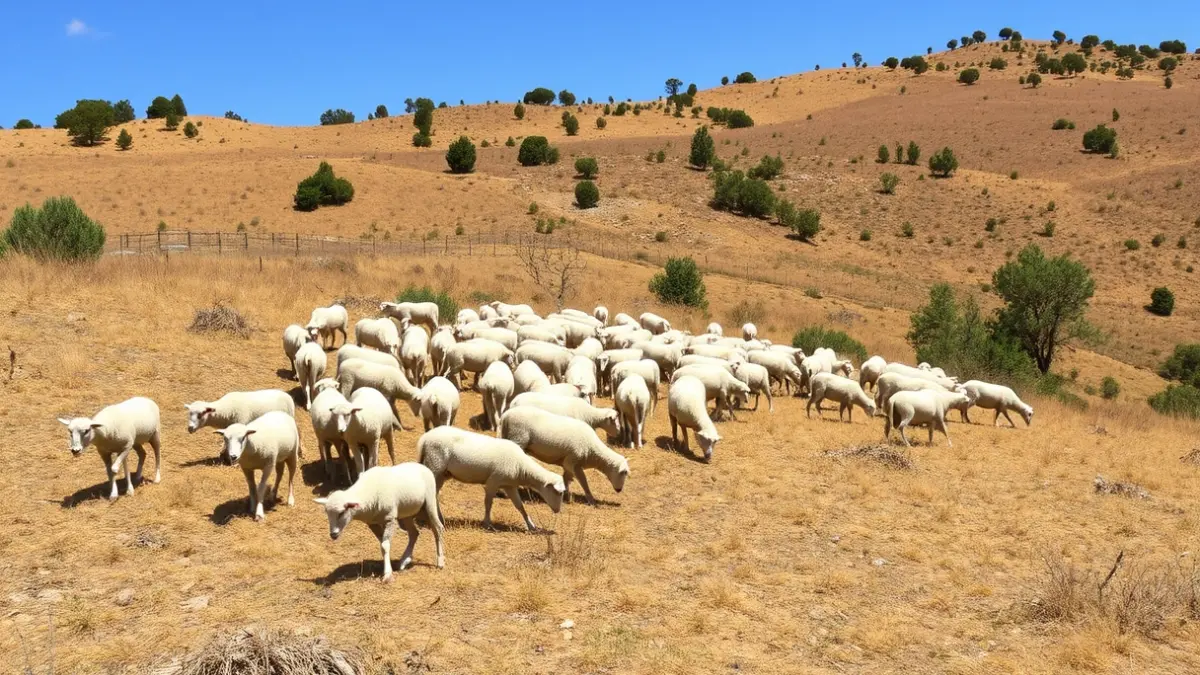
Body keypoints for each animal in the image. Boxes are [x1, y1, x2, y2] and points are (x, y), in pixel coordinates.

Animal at [314, 463, 445, 581]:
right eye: (327, 513)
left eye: (341, 512)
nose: (333, 534)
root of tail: (421, 465)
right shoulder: (372, 523)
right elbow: (382, 544)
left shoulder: (390, 518)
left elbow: (385, 545)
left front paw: (387, 574)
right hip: (406, 512)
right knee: (414, 533)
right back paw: (405, 560)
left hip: (429, 503)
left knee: (438, 528)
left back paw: (440, 561)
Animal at [416, 426, 566, 531]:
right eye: (558, 492)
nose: (558, 511)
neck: (521, 467)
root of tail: (424, 439)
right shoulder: (493, 481)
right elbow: (488, 503)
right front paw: (488, 523)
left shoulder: (509, 485)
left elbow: (520, 506)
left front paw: (531, 525)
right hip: (435, 466)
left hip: (443, 473)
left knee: (435, 494)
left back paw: (438, 518)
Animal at [499, 407, 629, 505]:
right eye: (623, 473)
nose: (619, 490)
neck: (593, 452)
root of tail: (505, 416)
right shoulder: (573, 461)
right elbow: (583, 481)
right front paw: (591, 500)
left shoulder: (568, 463)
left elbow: (567, 478)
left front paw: (567, 496)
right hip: (518, 438)